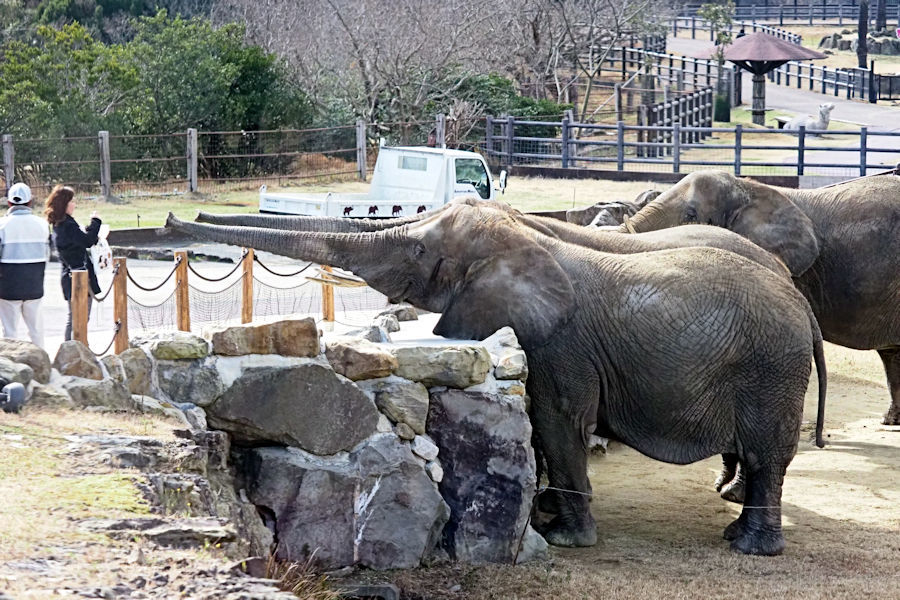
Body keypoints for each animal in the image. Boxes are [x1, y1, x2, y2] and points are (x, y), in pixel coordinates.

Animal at [165, 203, 828, 556]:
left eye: (417, 252)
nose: (176, 218)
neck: (531, 238)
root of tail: (803, 305)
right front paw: (548, 520)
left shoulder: (563, 345)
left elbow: (558, 421)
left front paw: (564, 541)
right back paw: (736, 526)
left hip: (771, 371)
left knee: (768, 454)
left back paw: (747, 544)